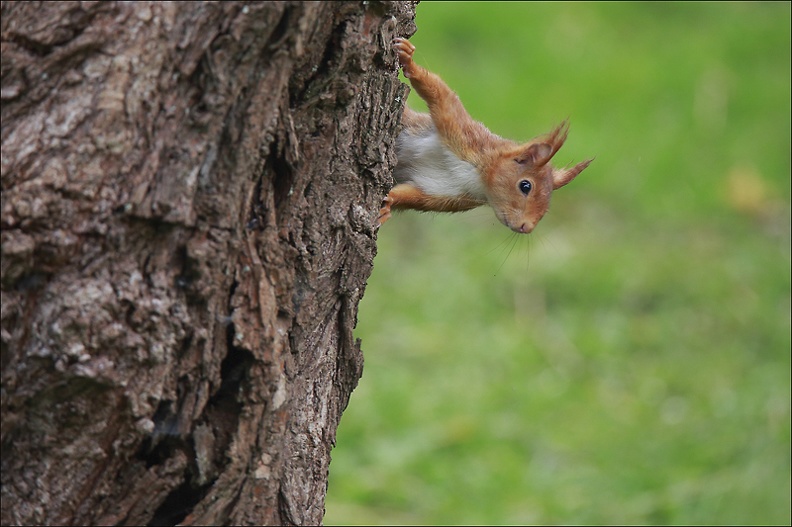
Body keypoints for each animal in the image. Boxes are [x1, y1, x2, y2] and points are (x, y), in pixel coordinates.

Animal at [380, 38, 592, 234]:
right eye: (525, 186)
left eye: (547, 206)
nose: (527, 227)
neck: (477, 177)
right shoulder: (463, 134)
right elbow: (440, 94)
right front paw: (409, 61)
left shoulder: (448, 197)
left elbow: (413, 196)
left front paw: (389, 204)